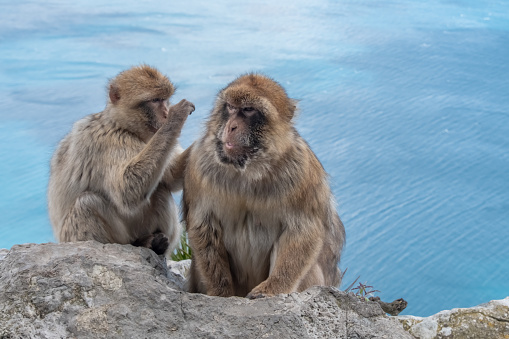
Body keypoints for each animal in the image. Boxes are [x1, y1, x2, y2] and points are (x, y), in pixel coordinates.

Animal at [48, 65, 194, 256]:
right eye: (155, 100)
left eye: (165, 100)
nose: (165, 113)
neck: (123, 126)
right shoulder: (107, 141)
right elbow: (126, 189)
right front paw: (176, 117)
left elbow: (170, 177)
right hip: (82, 237)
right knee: (87, 203)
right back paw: (142, 244)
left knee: (161, 188)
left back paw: (156, 244)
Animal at [183, 73, 346, 298]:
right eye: (230, 107)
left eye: (248, 110)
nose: (231, 126)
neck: (249, 170)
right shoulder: (199, 164)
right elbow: (203, 226)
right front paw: (220, 292)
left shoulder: (303, 171)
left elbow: (303, 231)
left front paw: (273, 289)